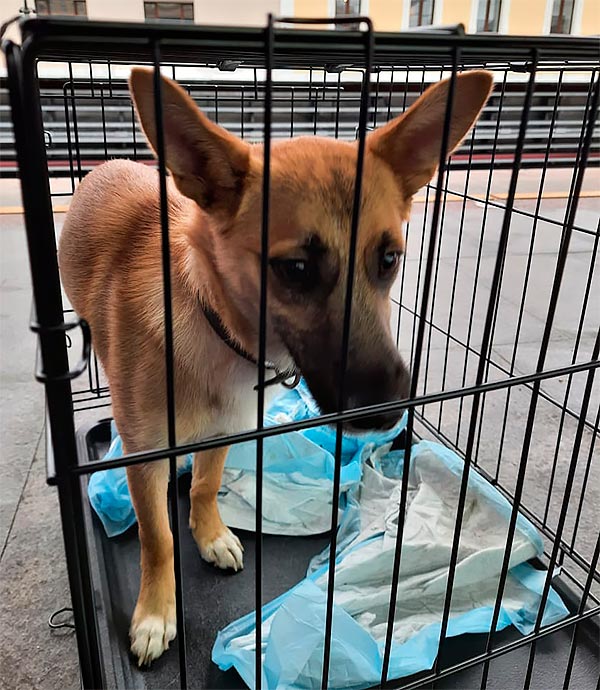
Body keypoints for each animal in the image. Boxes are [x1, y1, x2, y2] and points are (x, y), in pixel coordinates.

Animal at [58, 67, 492, 666]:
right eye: (297, 269)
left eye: (389, 259)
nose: (389, 412)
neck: (213, 322)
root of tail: (109, 164)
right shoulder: (147, 457)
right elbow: (157, 538)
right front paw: (155, 613)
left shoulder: (228, 429)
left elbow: (205, 487)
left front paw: (209, 533)